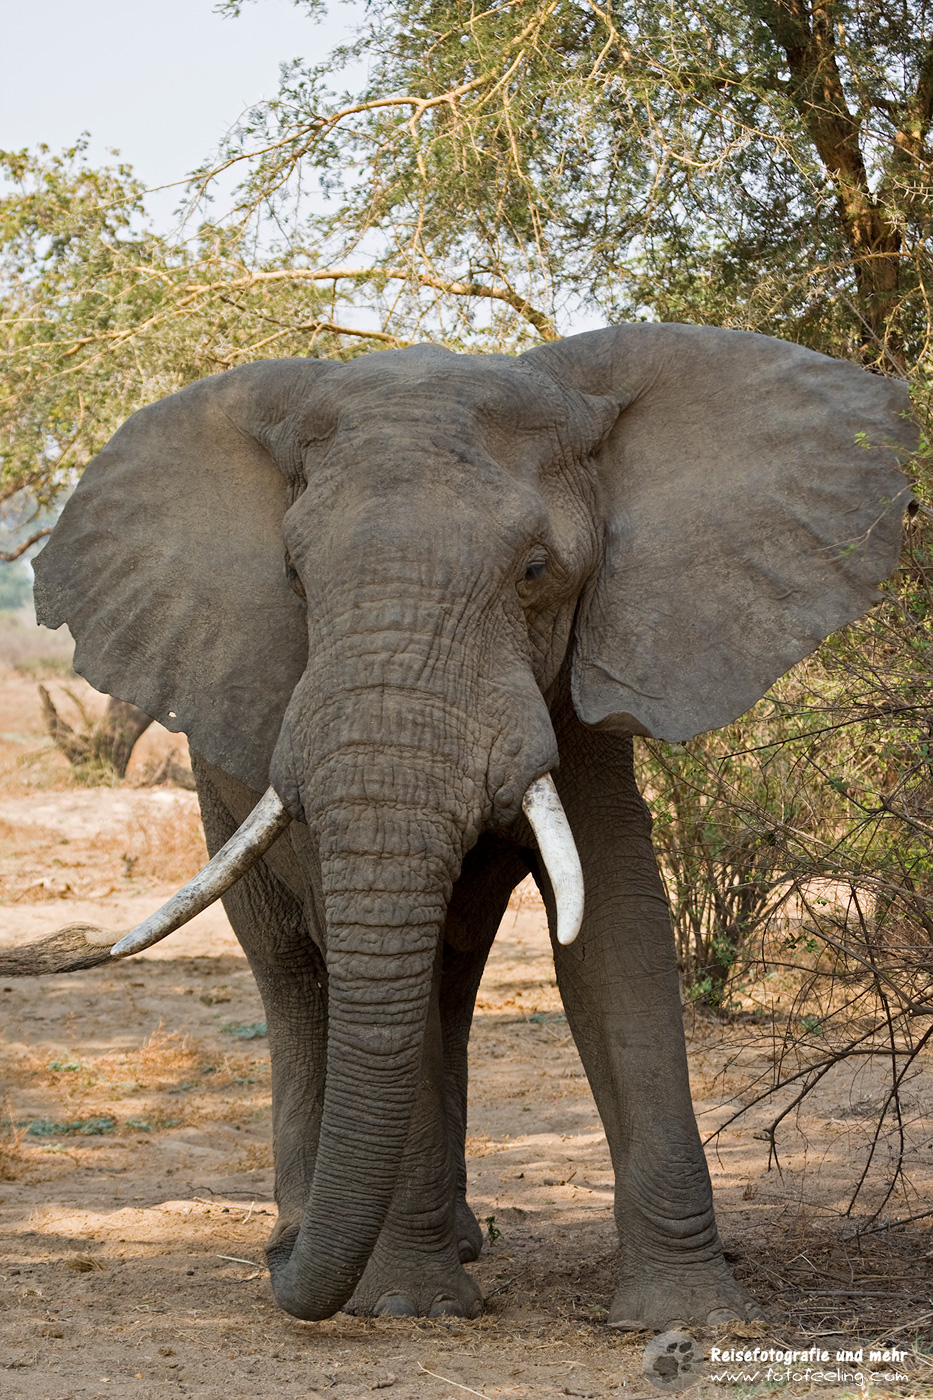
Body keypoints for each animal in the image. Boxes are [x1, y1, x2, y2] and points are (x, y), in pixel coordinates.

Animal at [3, 323, 915, 1330]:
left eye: (535, 572)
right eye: (294, 577)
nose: (287, 1286)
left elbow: (616, 931)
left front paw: (690, 1319)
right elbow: (374, 940)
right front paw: (408, 1305)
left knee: (446, 966)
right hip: (215, 790)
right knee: (295, 973)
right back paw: (313, 1241)